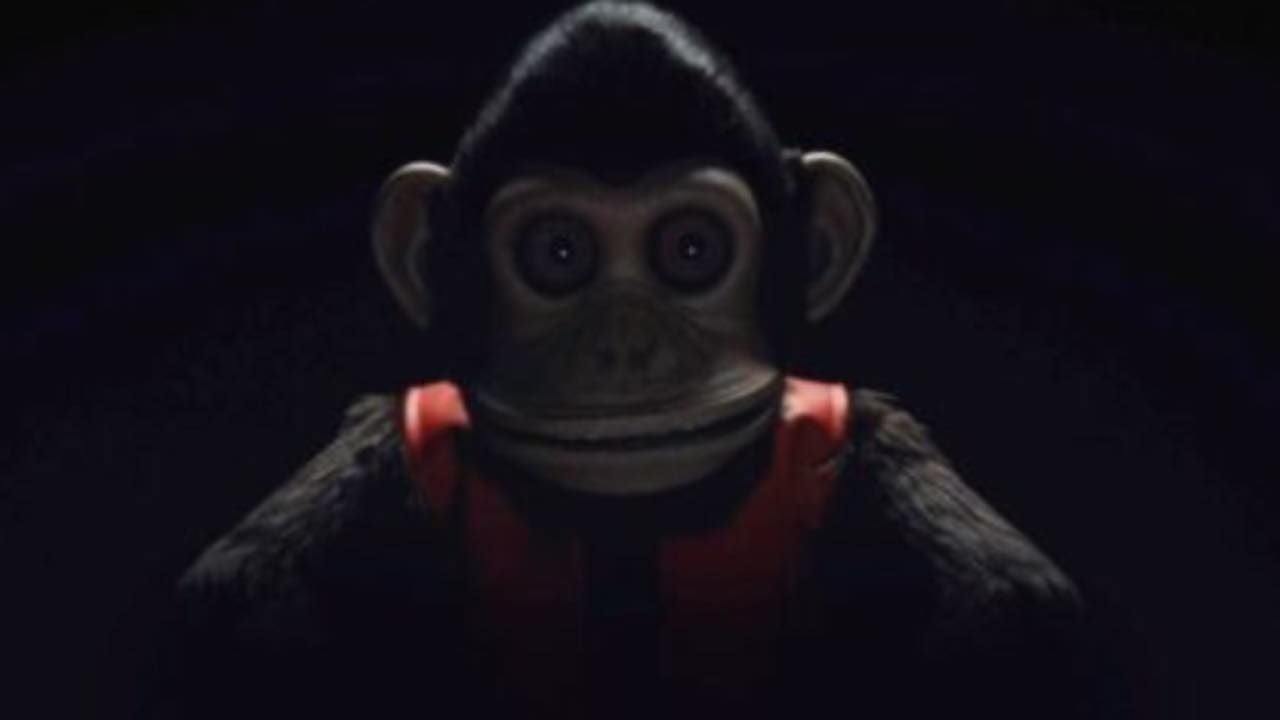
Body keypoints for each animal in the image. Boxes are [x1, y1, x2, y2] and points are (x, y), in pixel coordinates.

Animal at [164, 3, 1084, 719]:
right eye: (560, 252)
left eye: (691, 248)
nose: (624, 349)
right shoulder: (397, 430)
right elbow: (236, 591)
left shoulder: (863, 425)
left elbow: (1014, 605)